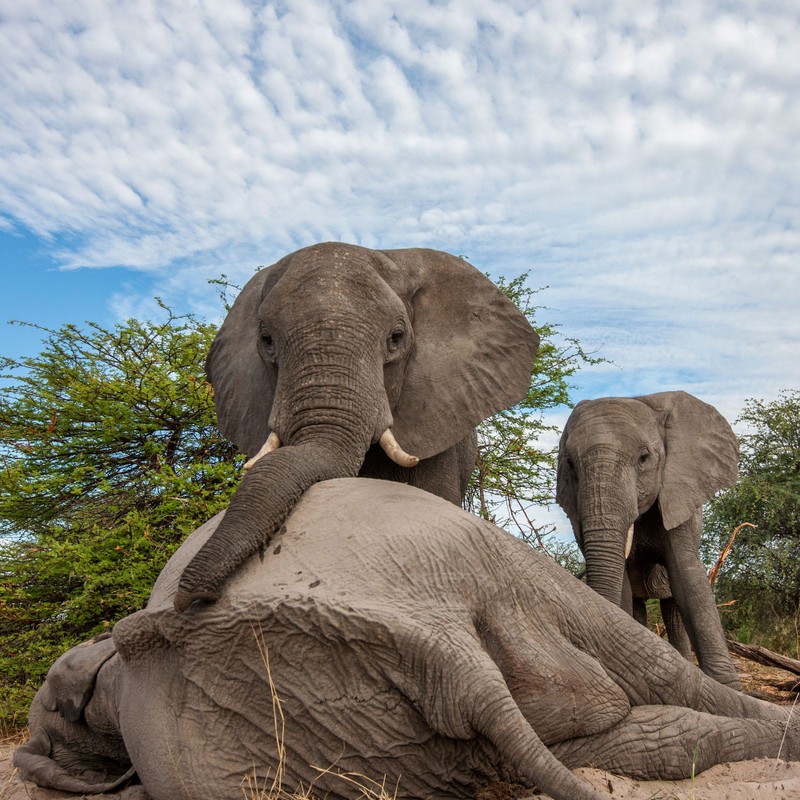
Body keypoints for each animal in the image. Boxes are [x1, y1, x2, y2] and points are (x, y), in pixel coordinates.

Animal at [556, 390, 736, 684]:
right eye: (569, 463)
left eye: (644, 457)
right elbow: (622, 587)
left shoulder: (677, 495)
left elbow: (689, 582)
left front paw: (728, 687)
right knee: (639, 605)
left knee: (673, 608)